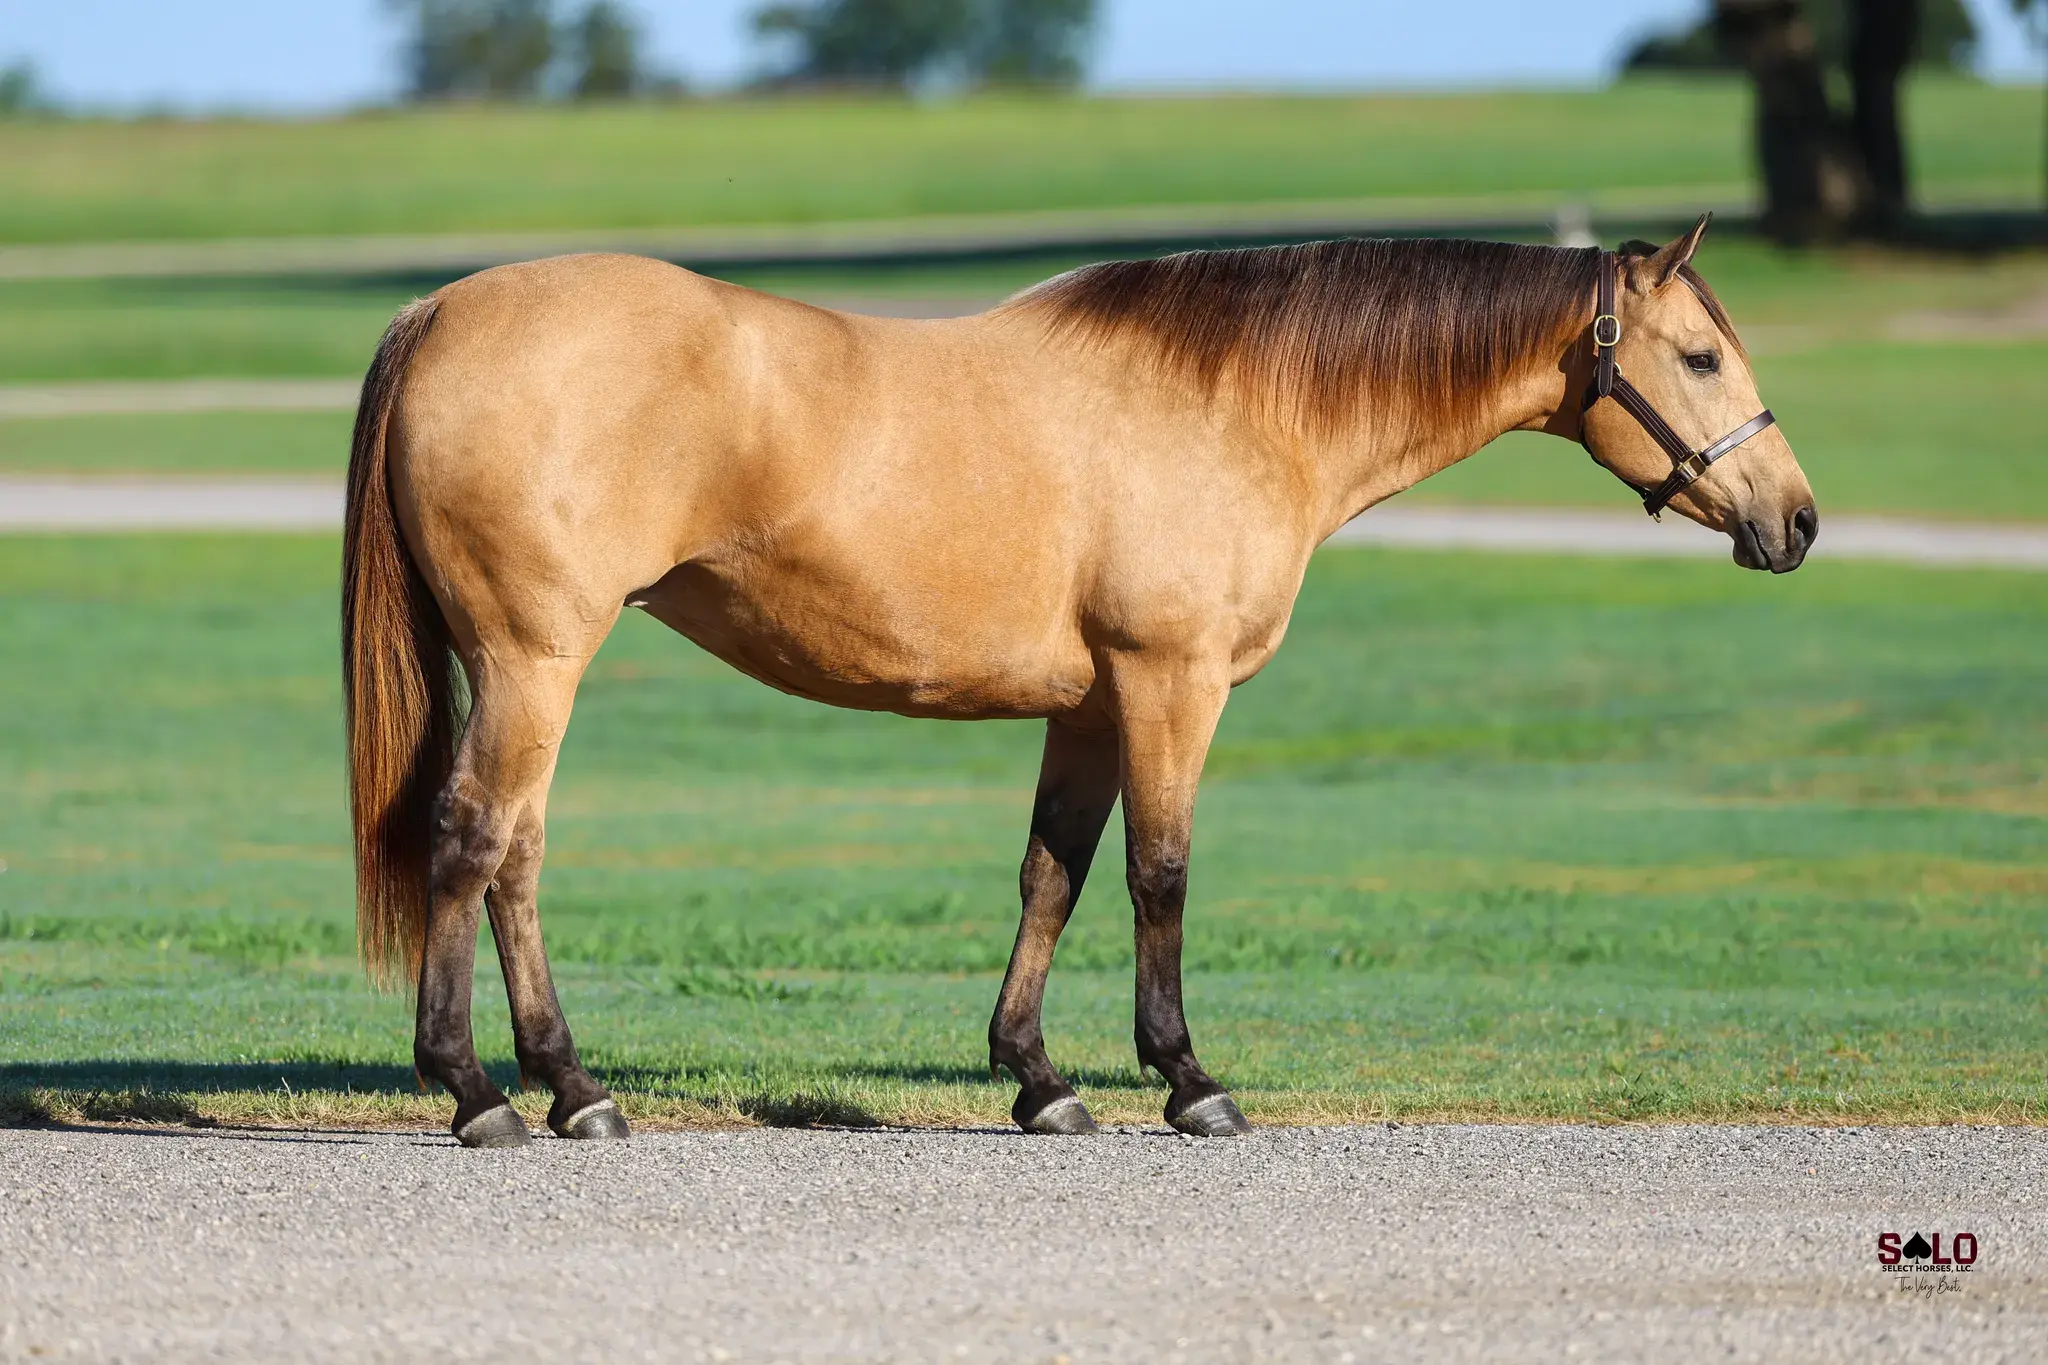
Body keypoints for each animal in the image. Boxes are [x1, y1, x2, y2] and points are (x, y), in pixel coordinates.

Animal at [342, 214, 1816, 1147]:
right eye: (1700, 357)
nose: (1795, 520)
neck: (1236, 405)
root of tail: (441, 309)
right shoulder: (1172, 685)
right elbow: (1159, 875)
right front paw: (1187, 1080)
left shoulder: (1090, 707)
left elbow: (1050, 874)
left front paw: (1039, 1081)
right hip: (533, 662)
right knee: (473, 843)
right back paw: (477, 1093)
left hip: (535, 671)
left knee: (517, 859)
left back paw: (573, 1087)